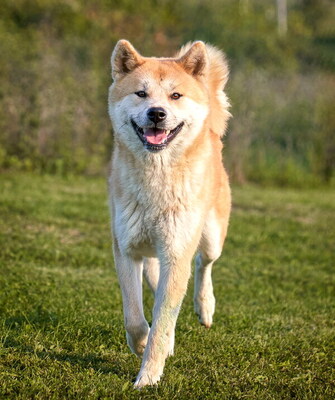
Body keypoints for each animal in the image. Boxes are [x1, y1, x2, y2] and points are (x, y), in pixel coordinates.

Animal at [109, 40, 232, 388]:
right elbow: (135, 316)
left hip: (210, 236)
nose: (157, 113)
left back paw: (205, 307)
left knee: (204, 264)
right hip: (154, 251)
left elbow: (162, 323)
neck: (156, 181)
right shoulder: (126, 249)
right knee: (156, 284)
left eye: (175, 95)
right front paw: (140, 344)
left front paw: (148, 377)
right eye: (141, 93)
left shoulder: (177, 253)